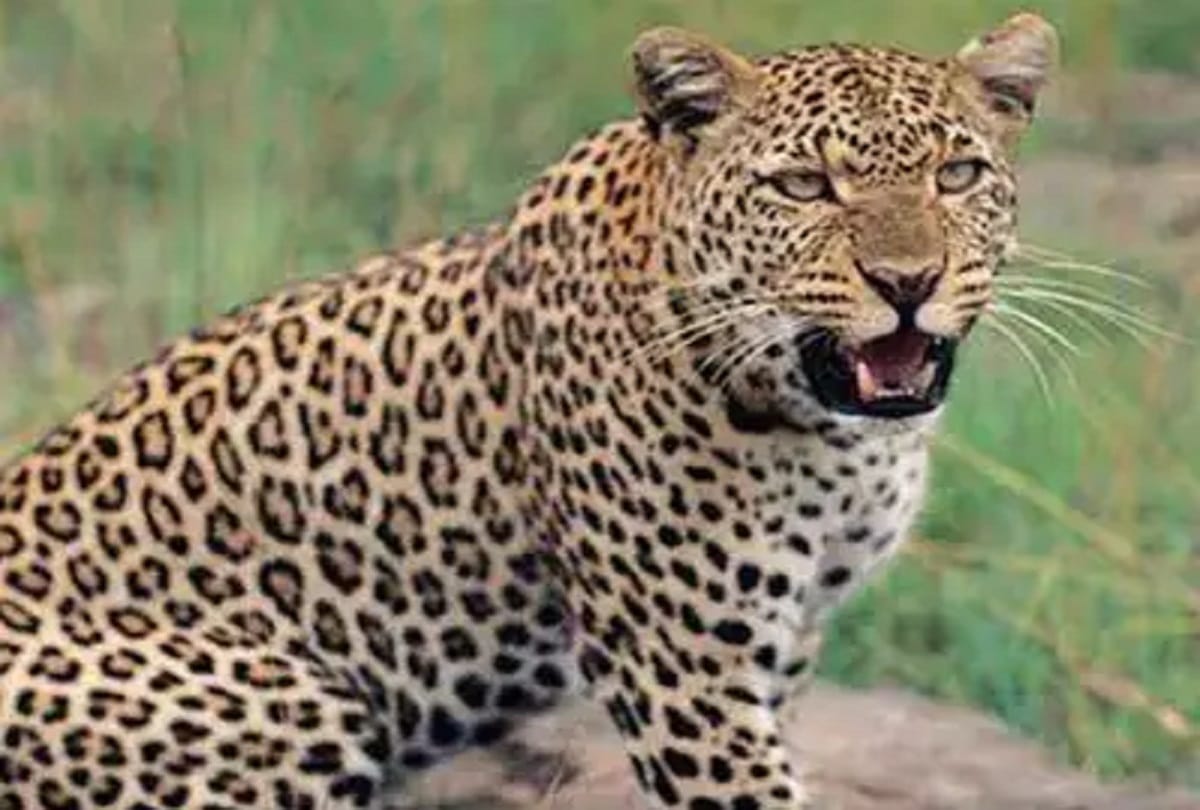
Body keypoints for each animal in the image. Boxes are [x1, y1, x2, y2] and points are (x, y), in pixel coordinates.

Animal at [0, 12, 1058, 810]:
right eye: (804, 185)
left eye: (957, 176)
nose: (908, 281)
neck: (831, 442)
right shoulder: (683, 667)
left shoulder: (785, 643)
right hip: (288, 708)